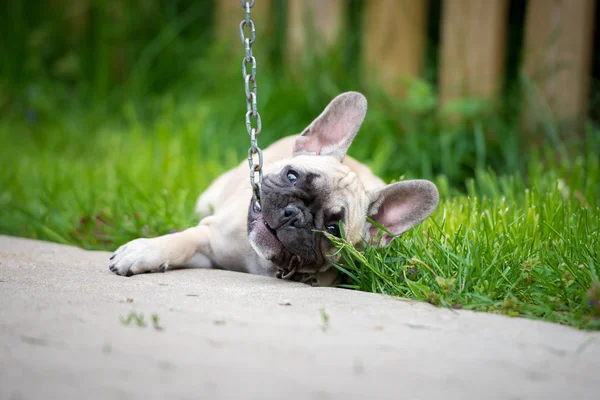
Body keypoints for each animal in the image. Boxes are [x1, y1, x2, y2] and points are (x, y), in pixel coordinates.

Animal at [108, 91, 438, 284]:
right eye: (292, 177)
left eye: (333, 229)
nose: (294, 214)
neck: (262, 262)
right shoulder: (210, 237)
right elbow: (182, 240)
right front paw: (145, 250)